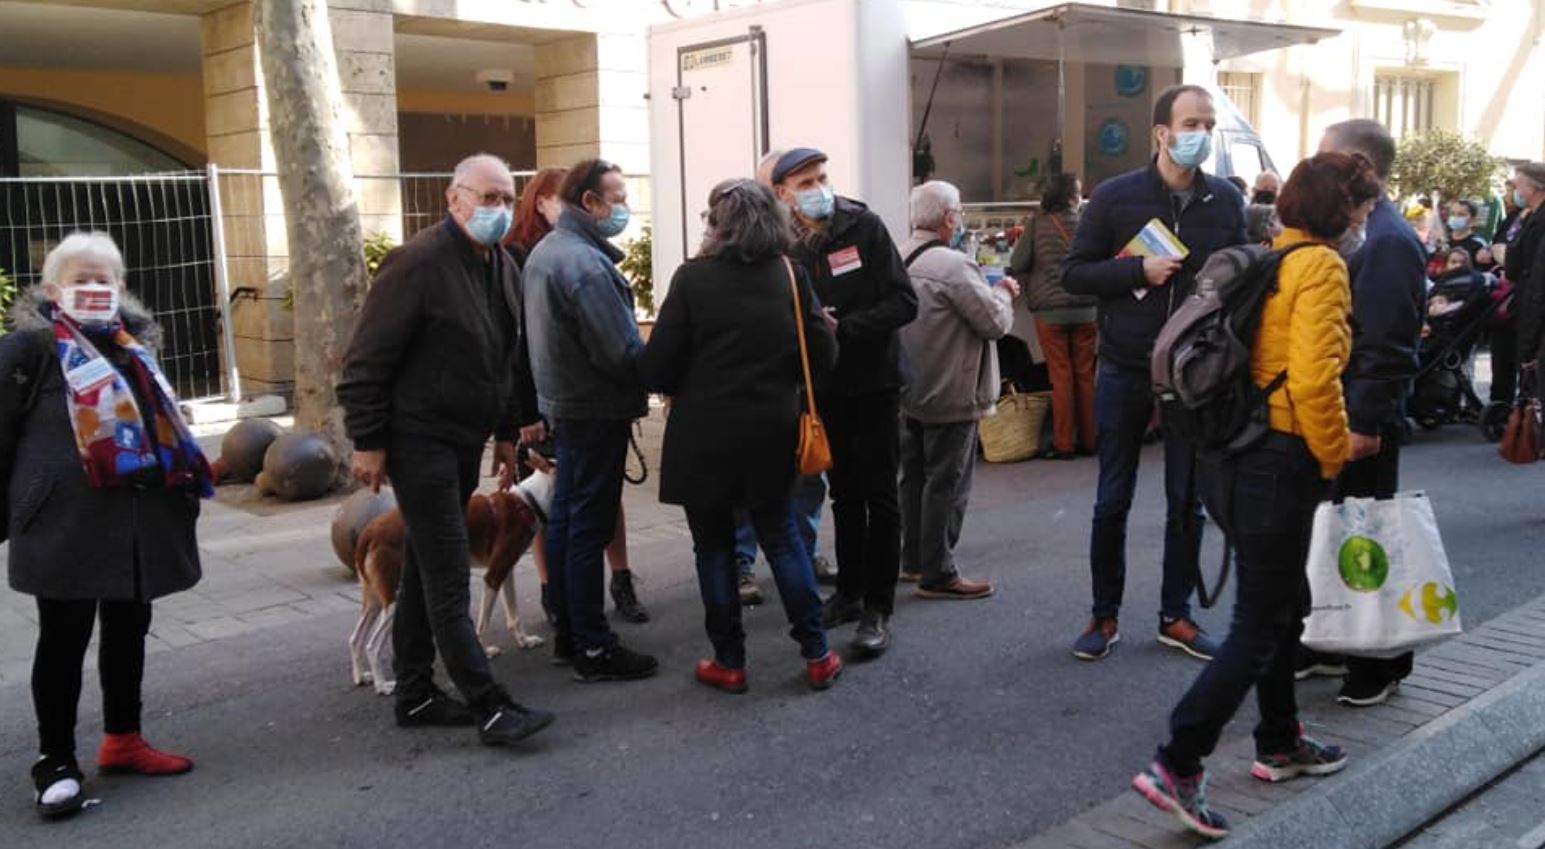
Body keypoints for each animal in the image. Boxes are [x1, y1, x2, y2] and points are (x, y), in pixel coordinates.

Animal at [347, 472, 553, 697]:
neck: (527, 502)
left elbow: (514, 615)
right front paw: (484, 652)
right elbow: (483, 622)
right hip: (395, 596)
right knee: (372, 645)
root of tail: (369, 532)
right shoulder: (493, 575)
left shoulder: (505, 571)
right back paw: (382, 685)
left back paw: (361, 677)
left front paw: (525, 641)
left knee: (355, 638)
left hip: (374, 598)